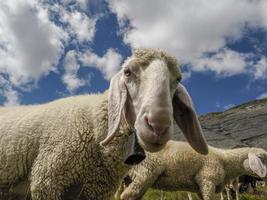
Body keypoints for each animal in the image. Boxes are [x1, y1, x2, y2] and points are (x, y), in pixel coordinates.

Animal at [117, 141, 267, 200]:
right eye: (262, 158)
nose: (264, 177)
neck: (224, 160)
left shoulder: (201, 187)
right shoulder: (207, 181)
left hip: (132, 178)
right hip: (145, 173)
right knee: (126, 196)